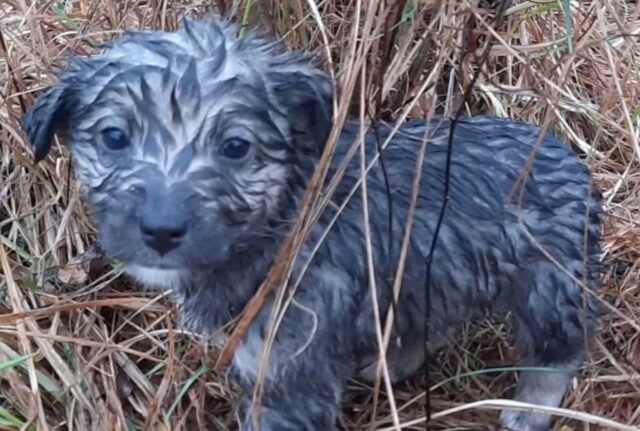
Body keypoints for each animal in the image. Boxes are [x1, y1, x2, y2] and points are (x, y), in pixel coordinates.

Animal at [22, 15, 604, 431]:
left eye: (236, 147)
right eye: (114, 138)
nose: (161, 231)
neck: (280, 226)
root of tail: (567, 155)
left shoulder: (288, 373)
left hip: (549, 286)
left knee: (559, 350)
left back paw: (530, 408)